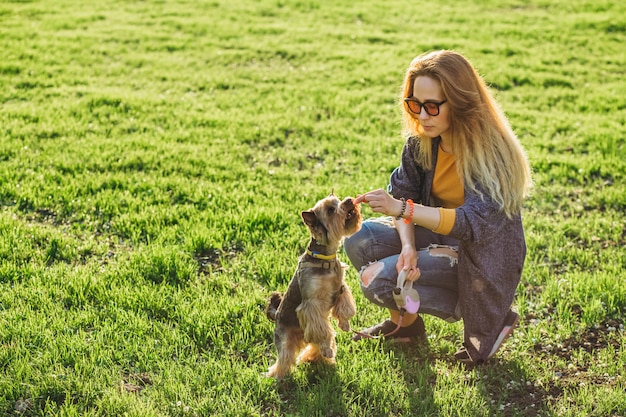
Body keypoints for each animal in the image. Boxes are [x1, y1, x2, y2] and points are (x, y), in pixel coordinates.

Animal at [264, 193, 360, 378]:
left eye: (338, 201)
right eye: (330, 210)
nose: (349, 200)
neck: (325, 257)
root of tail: (276, 314)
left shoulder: (341, 288)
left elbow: (344, 306)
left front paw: (345, 324)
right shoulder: (311, 304)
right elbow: (322, 330)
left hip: (308, 332)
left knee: (316, 344)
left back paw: (321, 359)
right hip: (285, 337)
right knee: (285, 357)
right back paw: (278, 376)